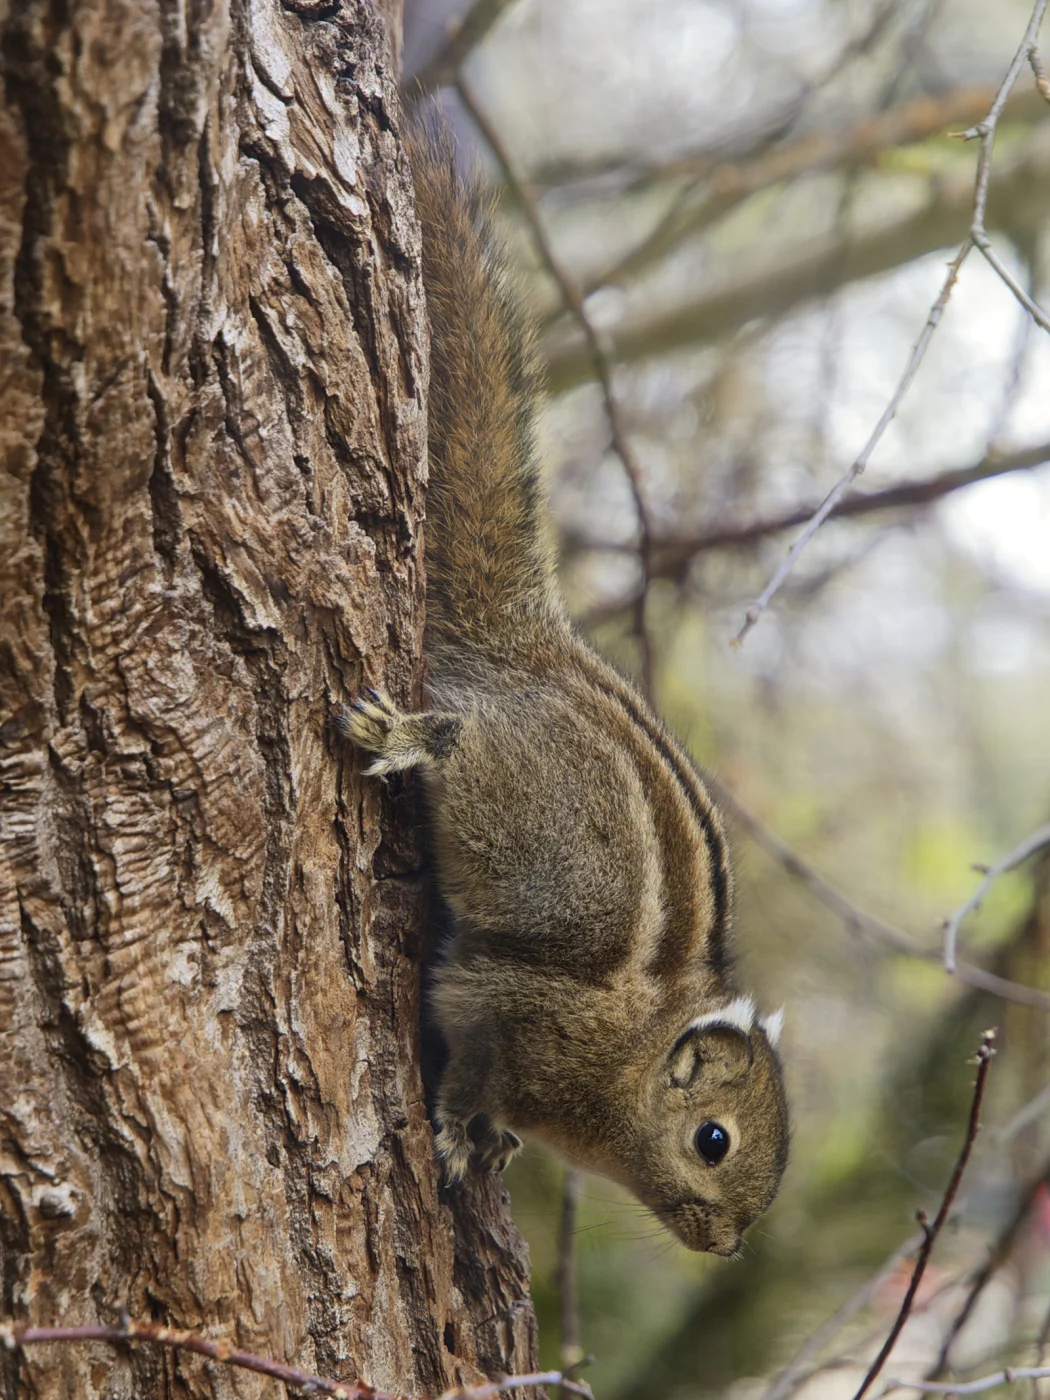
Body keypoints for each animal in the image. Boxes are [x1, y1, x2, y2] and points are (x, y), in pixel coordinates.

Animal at [336, 123, 789, 1256]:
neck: (630, 1055)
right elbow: (473, 1065)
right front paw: (463, 1132)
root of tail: (524, 653)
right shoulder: (513, 1016)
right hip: (510, 786)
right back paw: (409, 737)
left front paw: (490, 1139)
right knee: (459, 739)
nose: (725, 1246)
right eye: (713, 1140)